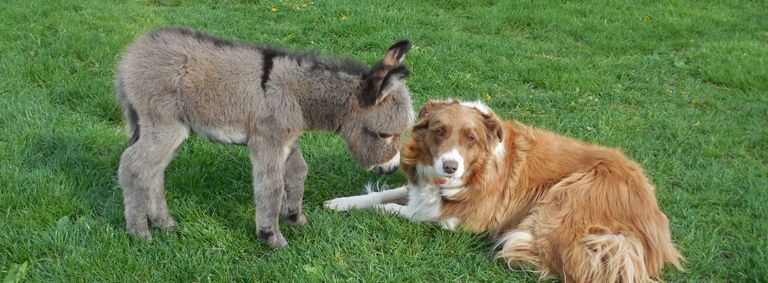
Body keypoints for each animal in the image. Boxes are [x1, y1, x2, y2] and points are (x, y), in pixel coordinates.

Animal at [115, 27, 414, 248]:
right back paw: (139, 232)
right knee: (133, 165)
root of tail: (129, 55)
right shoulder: (267, 141)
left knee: (153, 171)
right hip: (164, 123)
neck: (299, 97)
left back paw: (163, 222)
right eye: (384, 134)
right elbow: (271, 185)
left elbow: (298, 172)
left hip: (172, 129)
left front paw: (295, 217)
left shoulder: (288, 141)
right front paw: (272, 237)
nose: (392, 169)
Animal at [324, 101, 684, 282]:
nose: (449, 167)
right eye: (440, 131)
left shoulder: (456, 218)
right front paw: (339, 202)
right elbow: (380, 196)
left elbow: (397, 210)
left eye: (470, 138)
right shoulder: (419, 188)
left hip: (564, 199)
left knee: (569, 265)